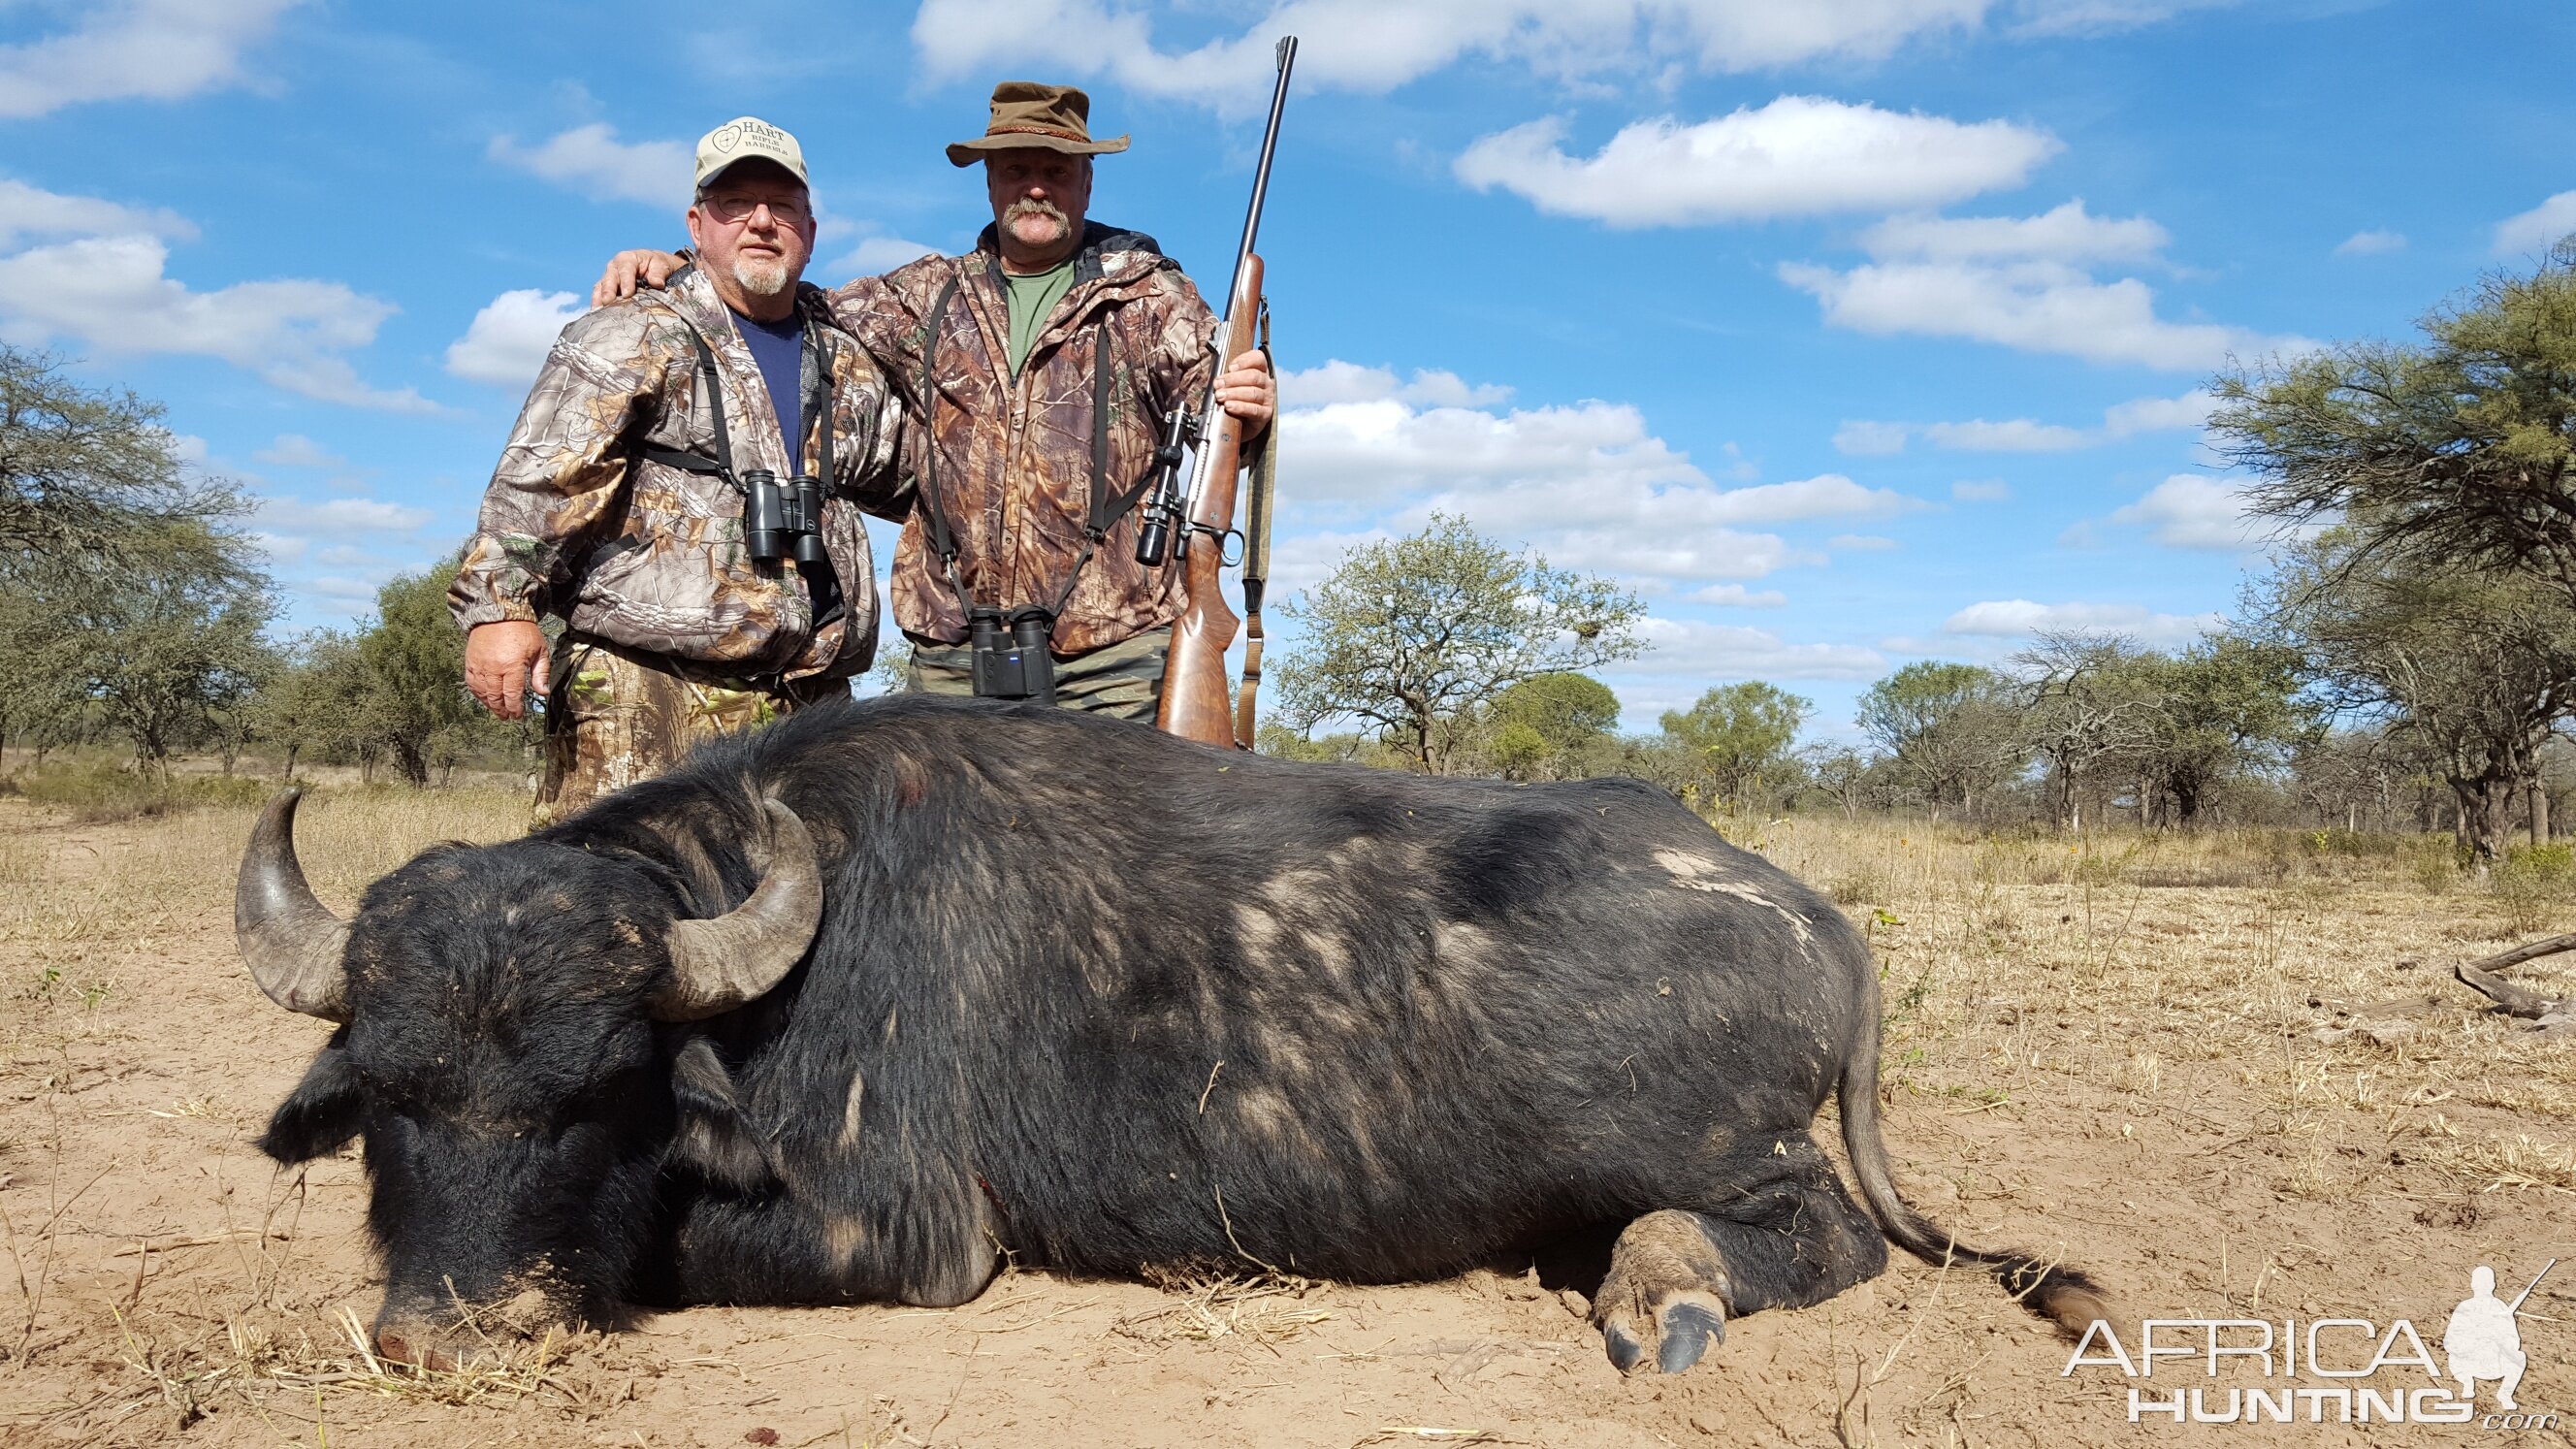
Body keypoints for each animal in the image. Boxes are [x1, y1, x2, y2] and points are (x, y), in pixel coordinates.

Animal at [242, 695, 2102, 1371]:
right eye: (391, 1095)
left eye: (604, 1089)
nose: (450, 1336)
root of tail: (1809, 915)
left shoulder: (905, 1234)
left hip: (1715, 1155)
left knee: (1822, 1232)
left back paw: (1665, 1278)